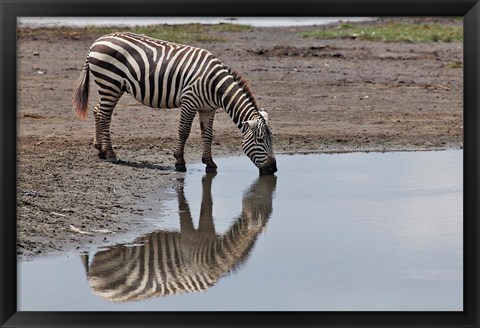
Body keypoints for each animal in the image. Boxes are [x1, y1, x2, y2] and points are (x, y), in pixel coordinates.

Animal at [73, 31, 280, 174]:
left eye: (272, 139)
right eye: (260, 140)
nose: (273, 169)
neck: (216, 86)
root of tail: (97, 41)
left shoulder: (208, 109)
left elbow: (208, 135)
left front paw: (210, 163)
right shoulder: (189, 101)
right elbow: (184, 131)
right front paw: (180, 161)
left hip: (112, 87)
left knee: (98, 110)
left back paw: (100, 149)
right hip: (110, 83)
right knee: (105, 116)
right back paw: (110, 154)